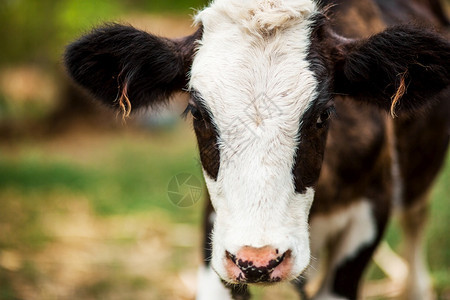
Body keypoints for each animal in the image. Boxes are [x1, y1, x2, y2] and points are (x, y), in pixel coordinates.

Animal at [64, 0, 450, 298]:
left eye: (323, 114)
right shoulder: (218, 231)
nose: (259, 261)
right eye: (198, 113)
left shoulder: (374, 205)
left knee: (416, 219)